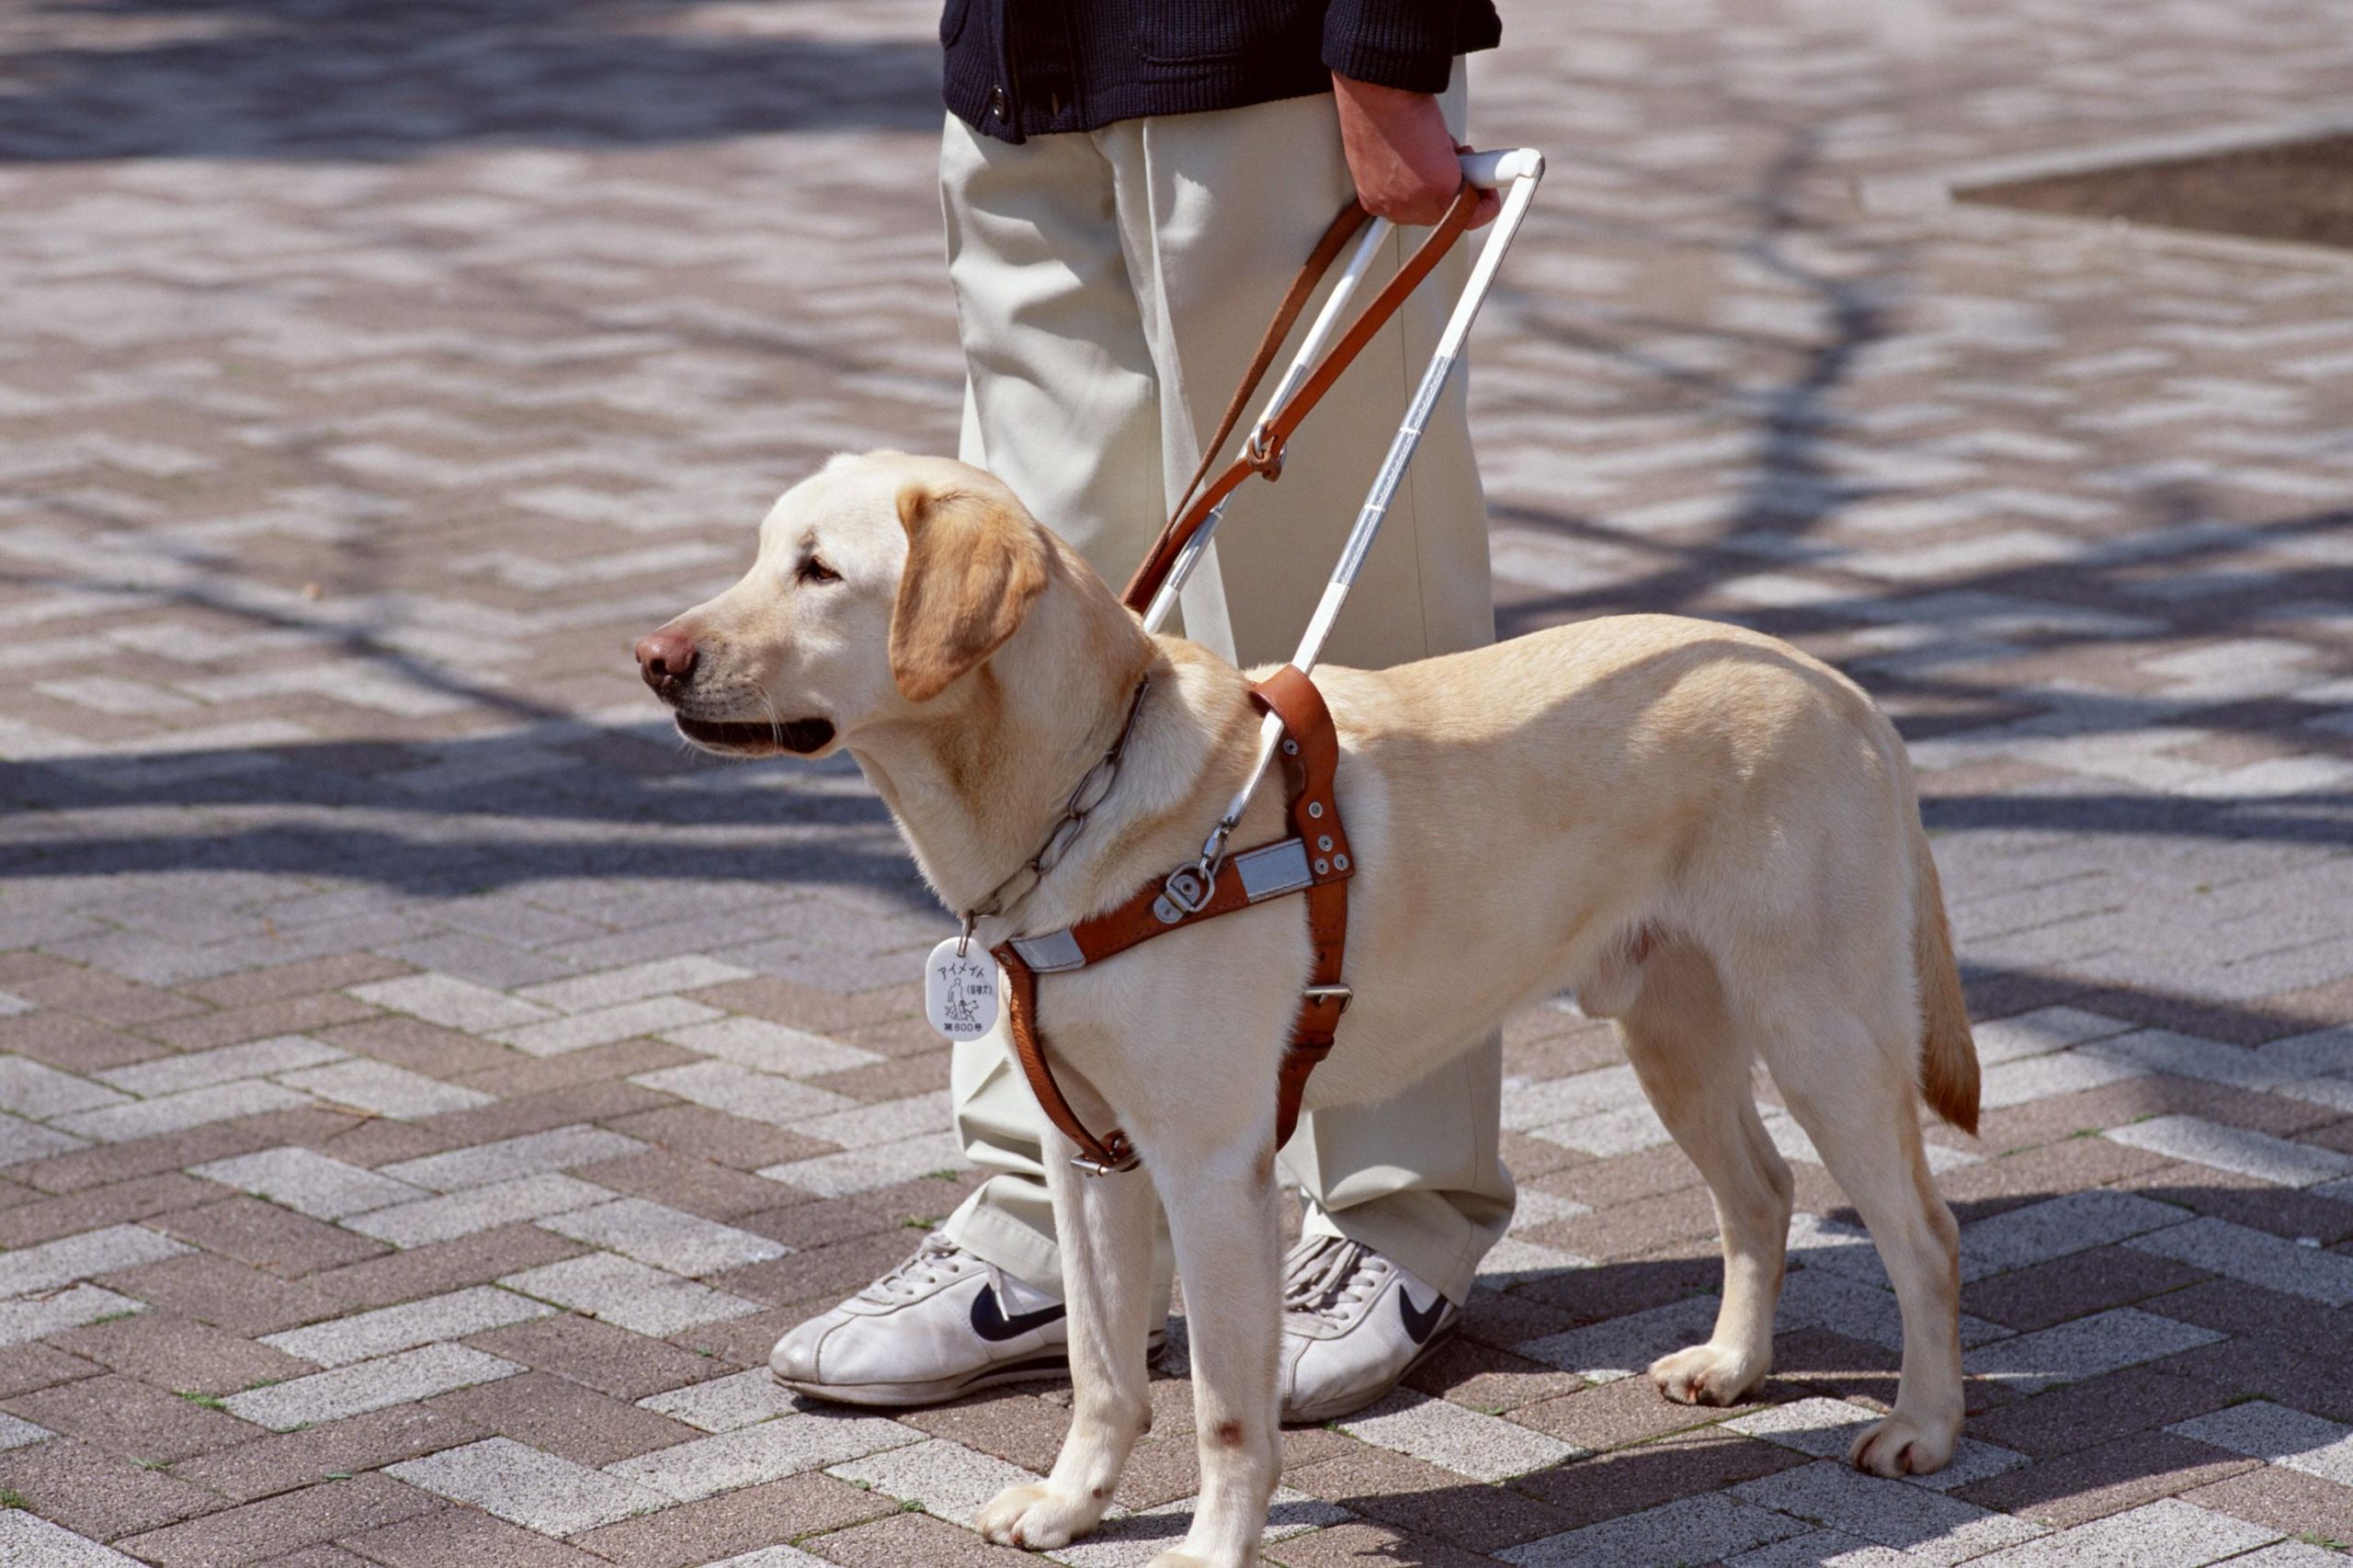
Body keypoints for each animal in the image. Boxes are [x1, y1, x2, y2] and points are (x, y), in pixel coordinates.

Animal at [635, 449, 1976, 1562]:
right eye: (761, 551)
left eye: (820, 571)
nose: (651, 658)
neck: (1078, 799)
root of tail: (1844, 687)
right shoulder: (1088, 1156)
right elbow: (1098, 1363)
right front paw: (1072, 1503)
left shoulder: (1209, 1166)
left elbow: (1226, 1406)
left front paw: (1212, 1549)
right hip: (1673, 1033)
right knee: (1762, 1191)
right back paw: (1738, 1365)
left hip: (1824, 1033)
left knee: (1923, 1233)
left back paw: (1923, 1425)